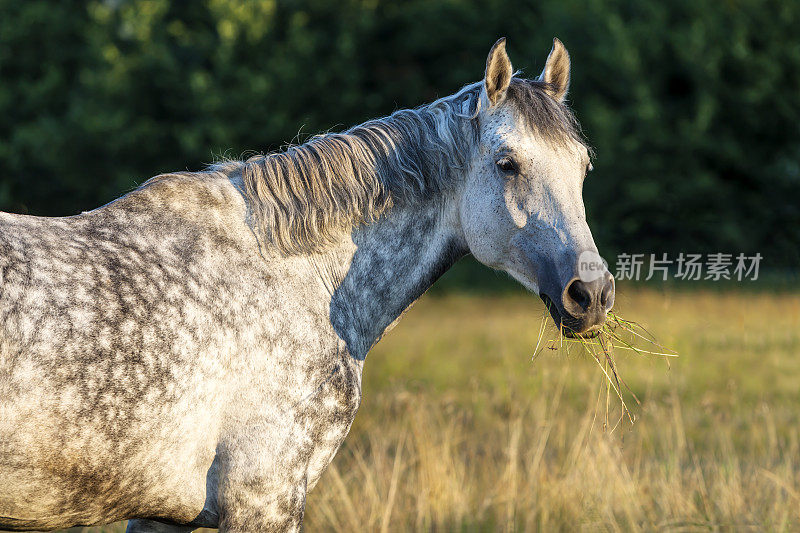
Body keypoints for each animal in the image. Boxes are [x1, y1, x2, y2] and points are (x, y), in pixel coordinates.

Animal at [0, 36, 612, 528]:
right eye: (508, 164)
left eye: (584, 166)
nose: (591, 294)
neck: (298, 282)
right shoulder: (263, 504)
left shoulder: (160, 517)